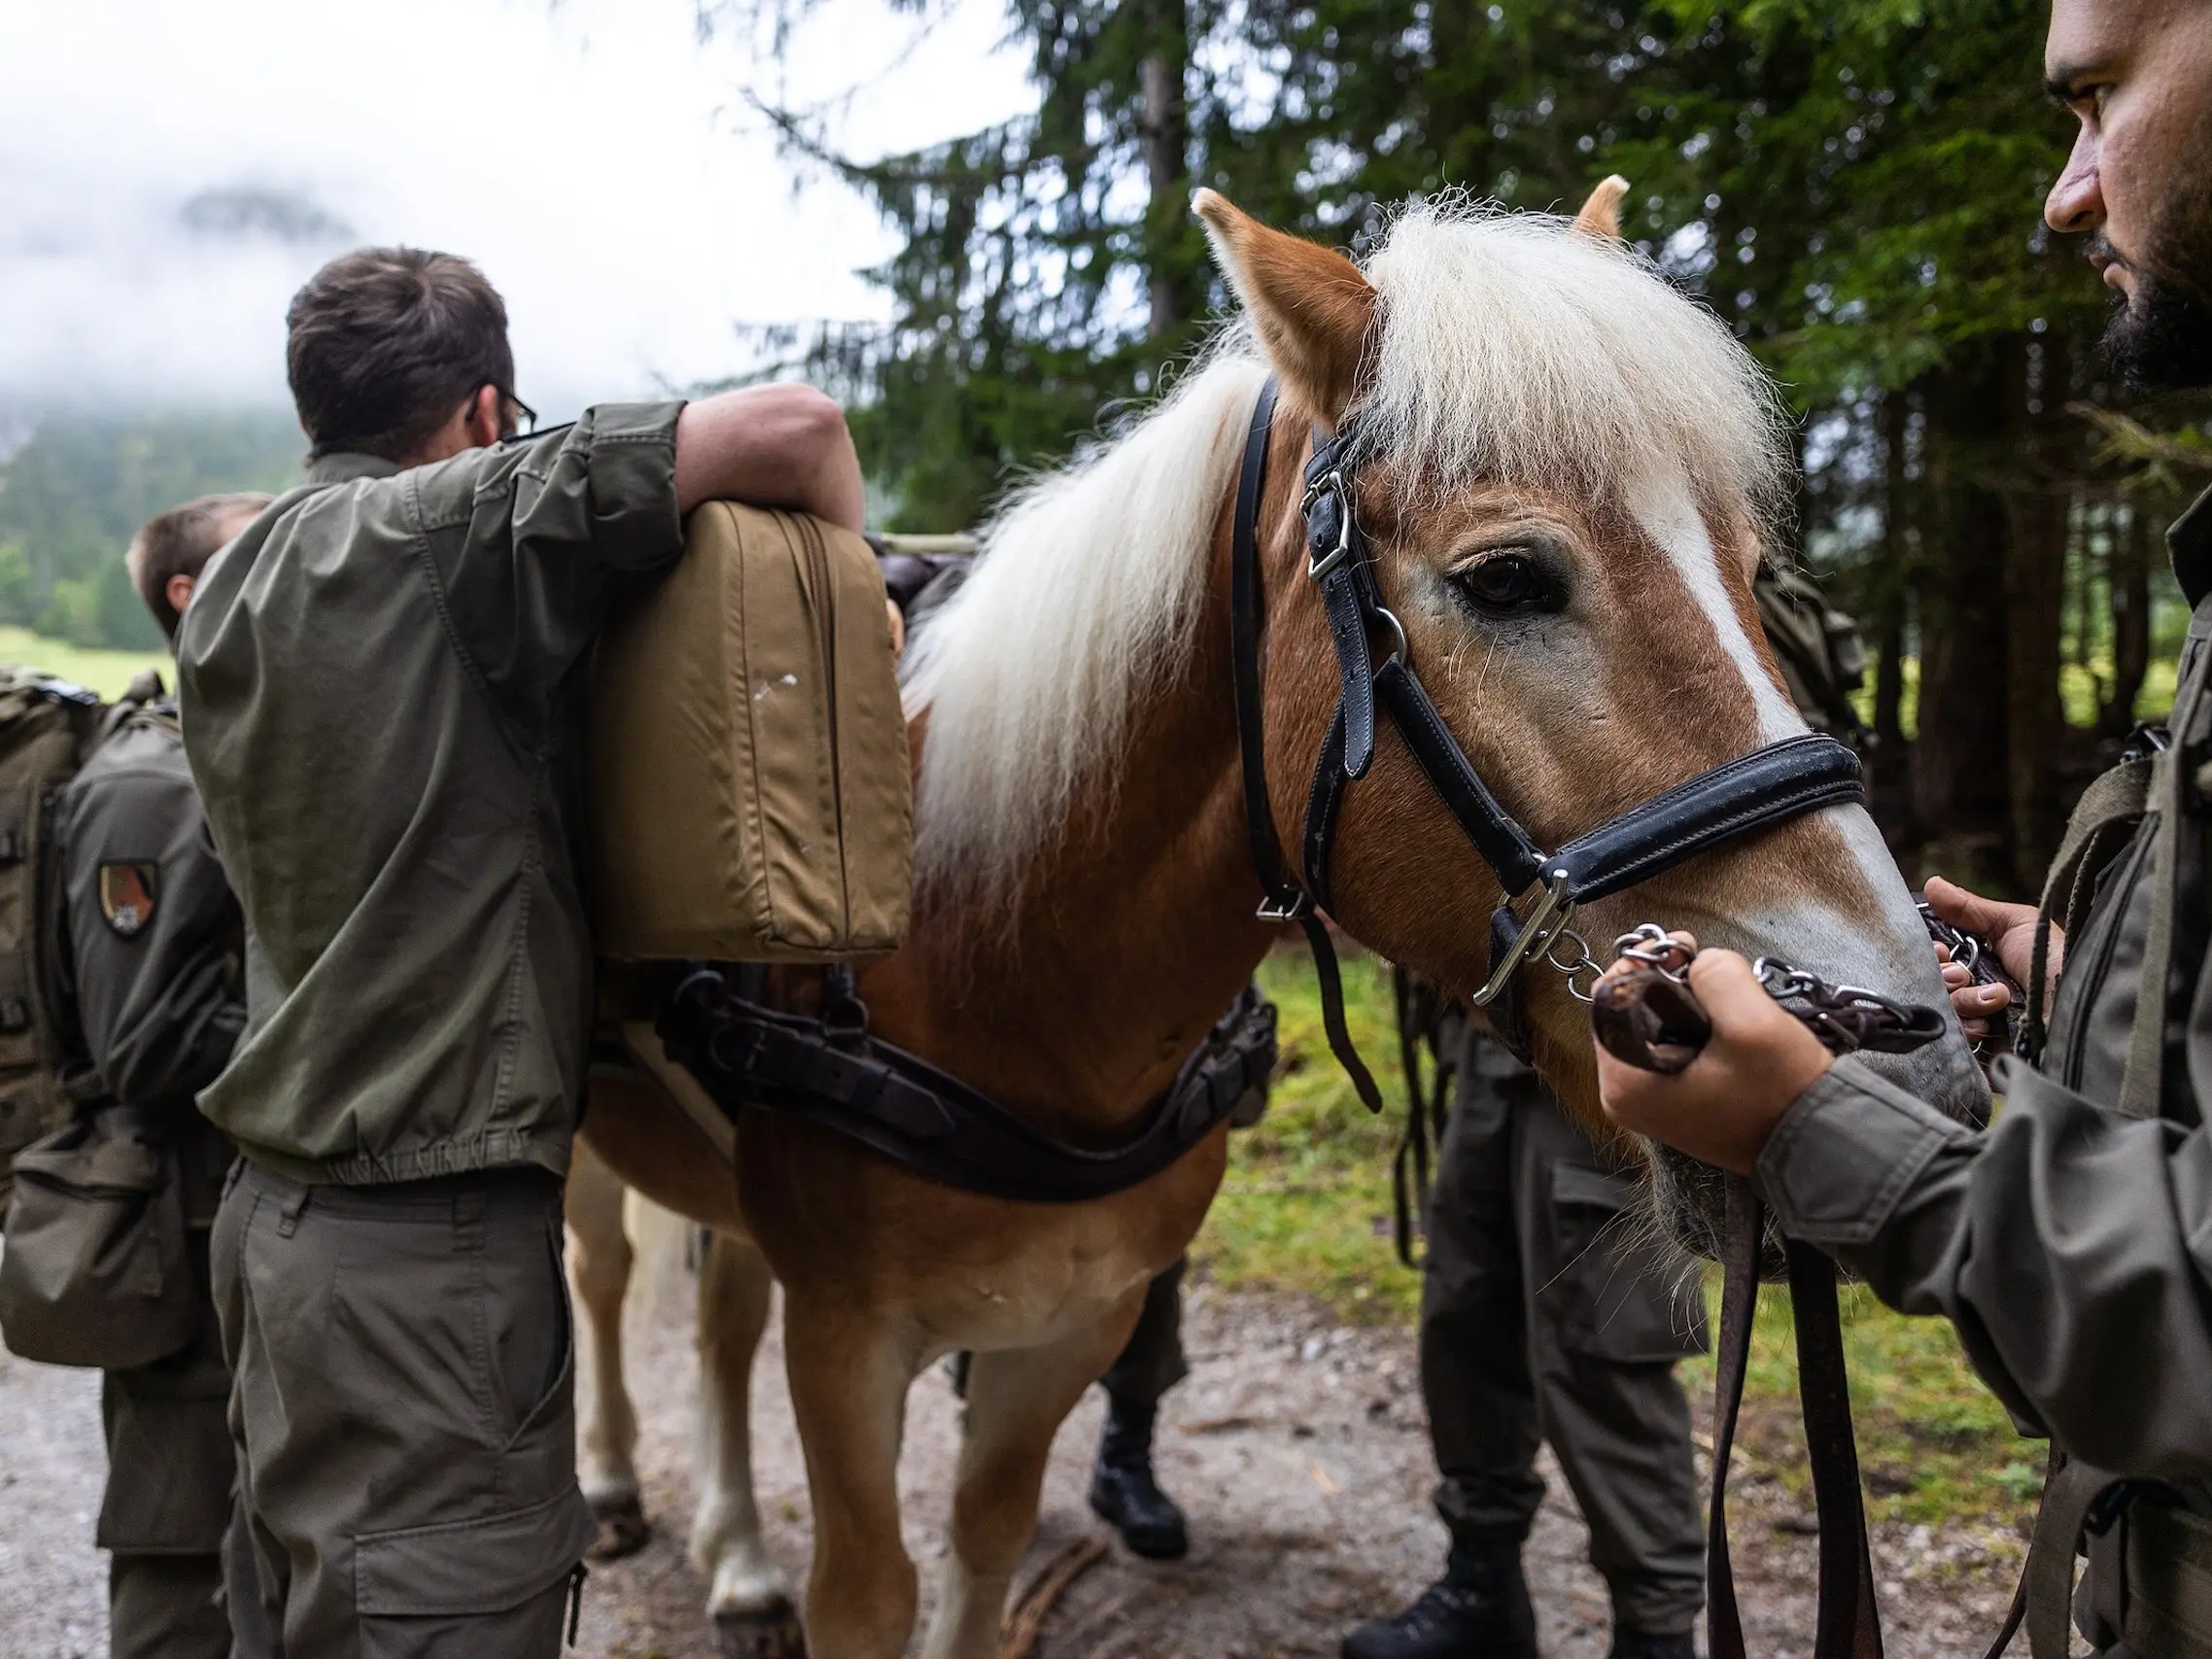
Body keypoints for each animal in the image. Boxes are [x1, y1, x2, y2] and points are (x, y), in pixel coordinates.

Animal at [570, 181, 1990, 1659]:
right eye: (1506, 577)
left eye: (1753, 572)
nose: (1893, 1043)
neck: (994, 964)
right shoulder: (848, 1339)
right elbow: (869, 1588)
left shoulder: (1063, 1327)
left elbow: (983, 1541)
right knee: (604, 1274)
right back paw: (619, 1484)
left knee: (719, 1310)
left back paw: (737, 1553)